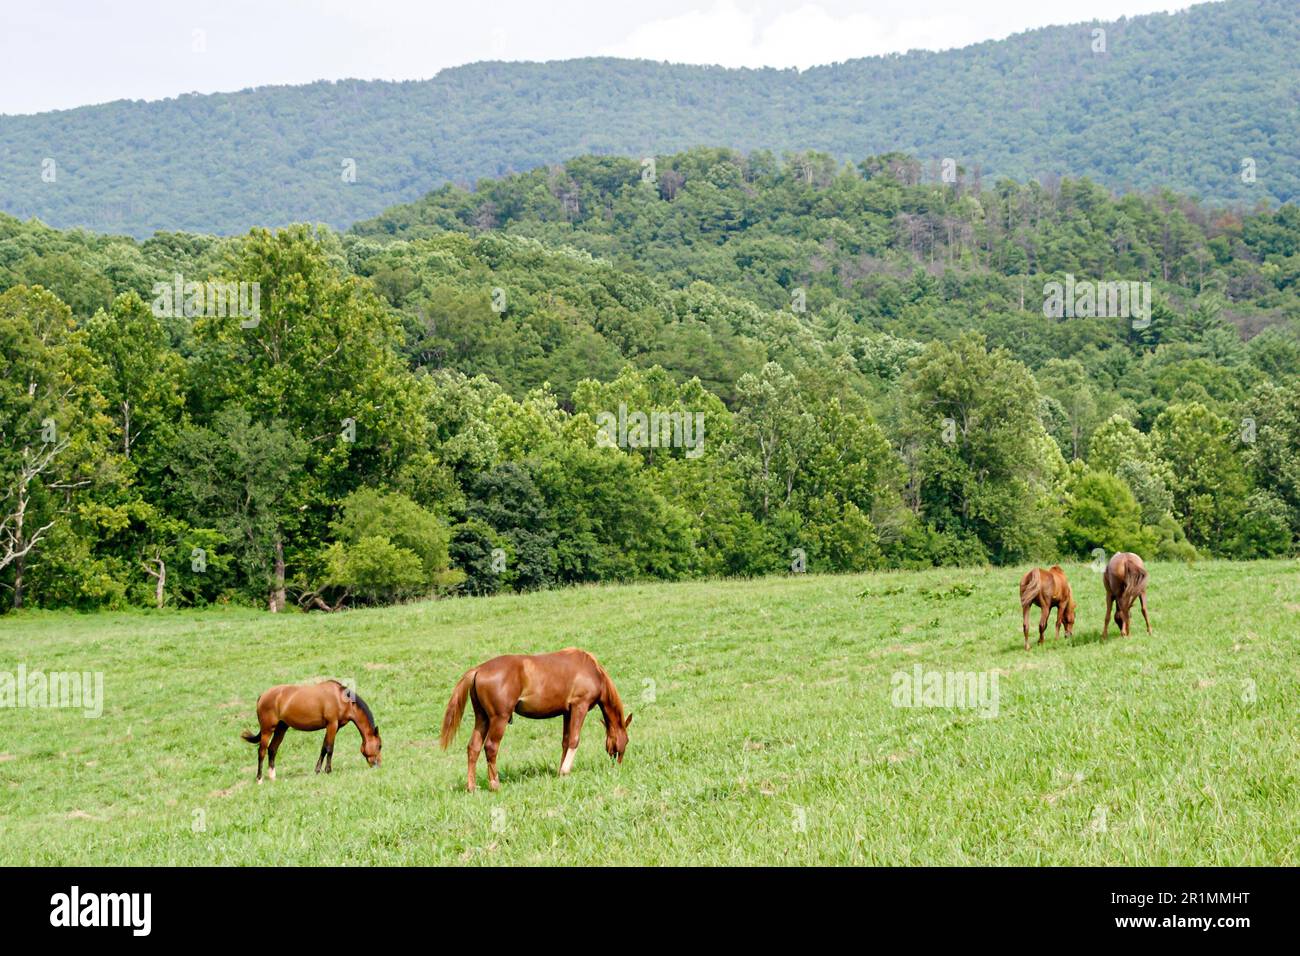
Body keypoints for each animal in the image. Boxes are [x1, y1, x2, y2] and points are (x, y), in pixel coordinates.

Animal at [239, 676, 379, 780]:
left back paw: (273, 776)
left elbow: (323, 748)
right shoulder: (332, 724)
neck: (340, 699)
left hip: (281, 728)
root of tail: (262, 696)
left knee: (272, 749)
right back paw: (259, 778)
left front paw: (317, 770)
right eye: (379, 746)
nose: (377, 765)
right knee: (261, 751)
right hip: (267, 729)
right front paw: (328, 770)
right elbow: (330, 748)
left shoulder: (333, 727)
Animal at [441, 650, 634, 790]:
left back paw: (472, 787)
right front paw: (565, 770)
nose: (618, 765)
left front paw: (560, 772)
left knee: (473, 748)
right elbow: (574, 740)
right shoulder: (580, 706)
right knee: (491, 747)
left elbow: (565, 741)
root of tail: (479, 669)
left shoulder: (567, 712)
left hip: (482, 719)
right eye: (626, 741)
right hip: (498, 719)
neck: (592, 670)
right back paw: (495, 785)